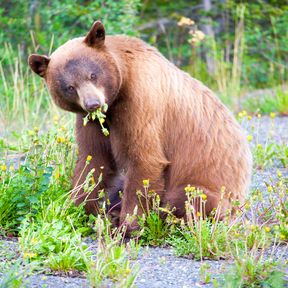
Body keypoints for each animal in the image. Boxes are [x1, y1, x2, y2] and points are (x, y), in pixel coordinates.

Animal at [28, 20, 251, 230]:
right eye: (70, 87)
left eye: (92, 74)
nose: (93, 104)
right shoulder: (93, 122)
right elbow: (93, 161)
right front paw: (79, 206)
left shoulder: (140, 101)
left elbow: (144, 159)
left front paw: (128, 225)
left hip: (213, 190)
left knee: (186, 198)